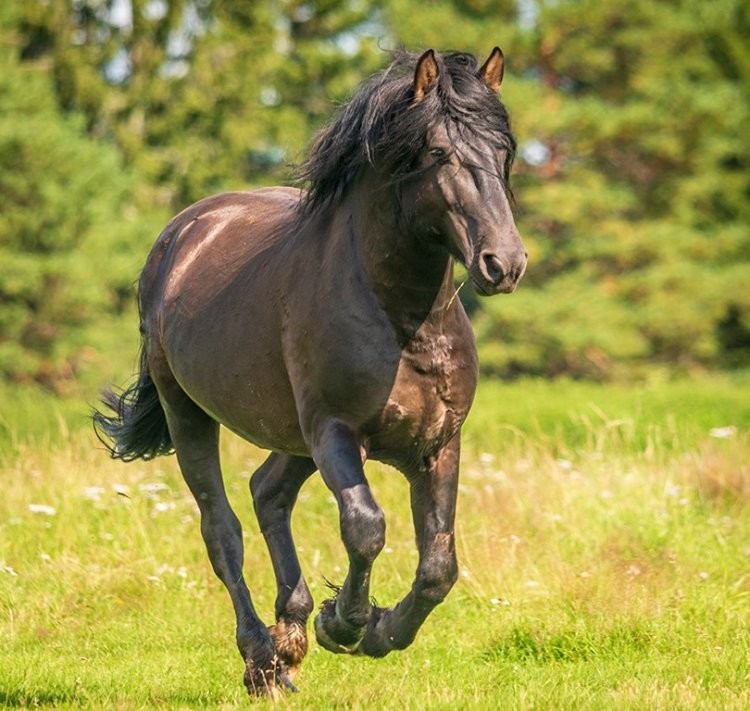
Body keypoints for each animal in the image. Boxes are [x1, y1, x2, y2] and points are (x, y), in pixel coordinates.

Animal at [95, 47, 528, 700]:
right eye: (436, 152)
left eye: (504, 150)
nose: (504, 263)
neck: (403, 322)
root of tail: (183, 233)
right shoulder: (335, 434)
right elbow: (366, 528)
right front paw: (345, 624)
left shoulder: (438, 443)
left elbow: (438, 567)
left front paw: (375, 630)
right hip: (191, 413)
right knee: (222, 531)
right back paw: (264, 661)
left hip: (292, 436)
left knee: (267, 492)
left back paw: (290, 636)